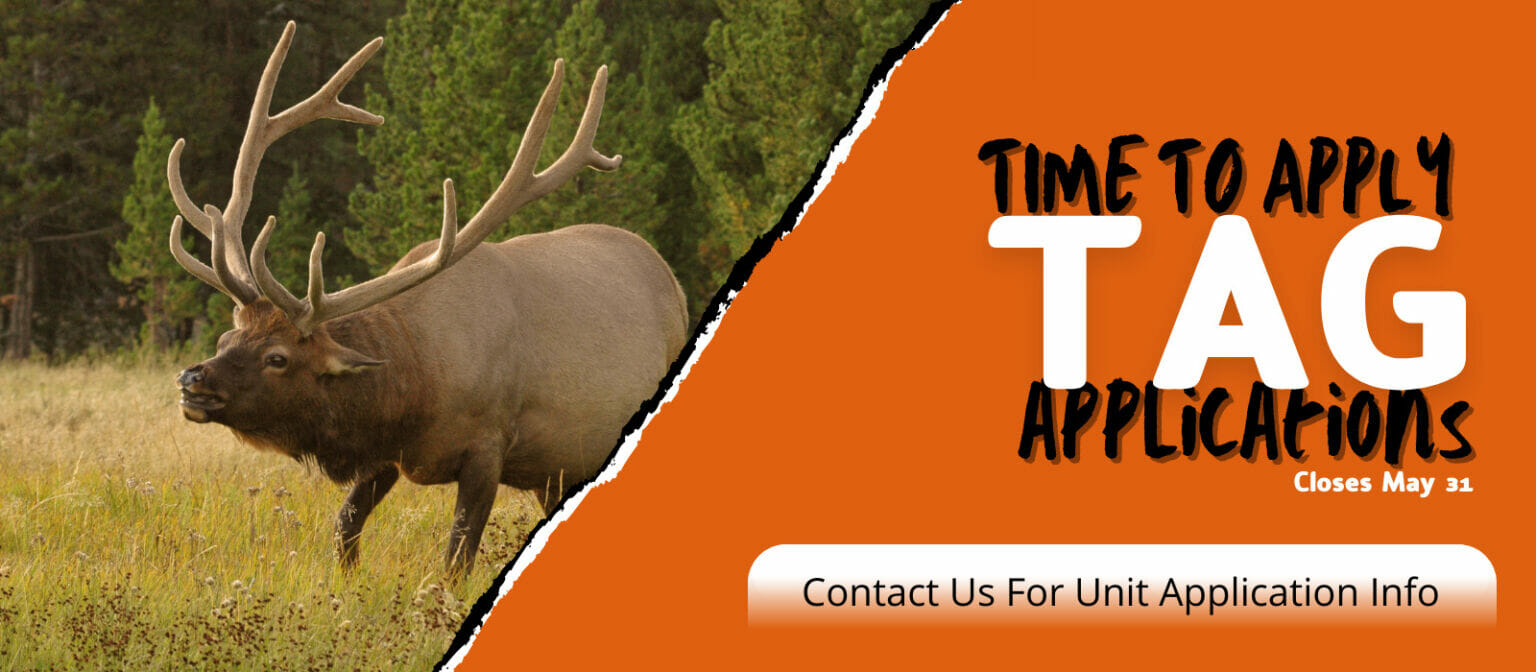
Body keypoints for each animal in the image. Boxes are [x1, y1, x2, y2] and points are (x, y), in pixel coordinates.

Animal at [168, 22, 687, 574]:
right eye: (226, 338)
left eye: (278, 357)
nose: (191, 380)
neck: (415, 381)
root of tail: (672, 281)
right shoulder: (387, 453)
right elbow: (344, 528)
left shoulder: (489, 444)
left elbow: (456, 557)